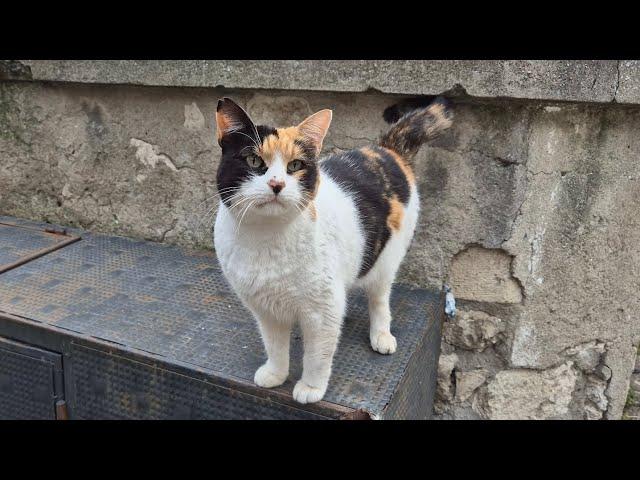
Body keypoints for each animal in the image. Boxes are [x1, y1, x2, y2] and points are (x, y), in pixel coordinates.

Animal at [212, 95, 452, 404]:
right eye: (254, 160)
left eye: (295, 165)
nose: (276, 184)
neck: (265, 238)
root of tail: (386, 150)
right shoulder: (266, 309)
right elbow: (275, 344)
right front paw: (276, 374)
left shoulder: (321, 310)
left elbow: (317, 353)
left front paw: (311, 387)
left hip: (386, 259)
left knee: (379, 298)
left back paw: (381, 335)